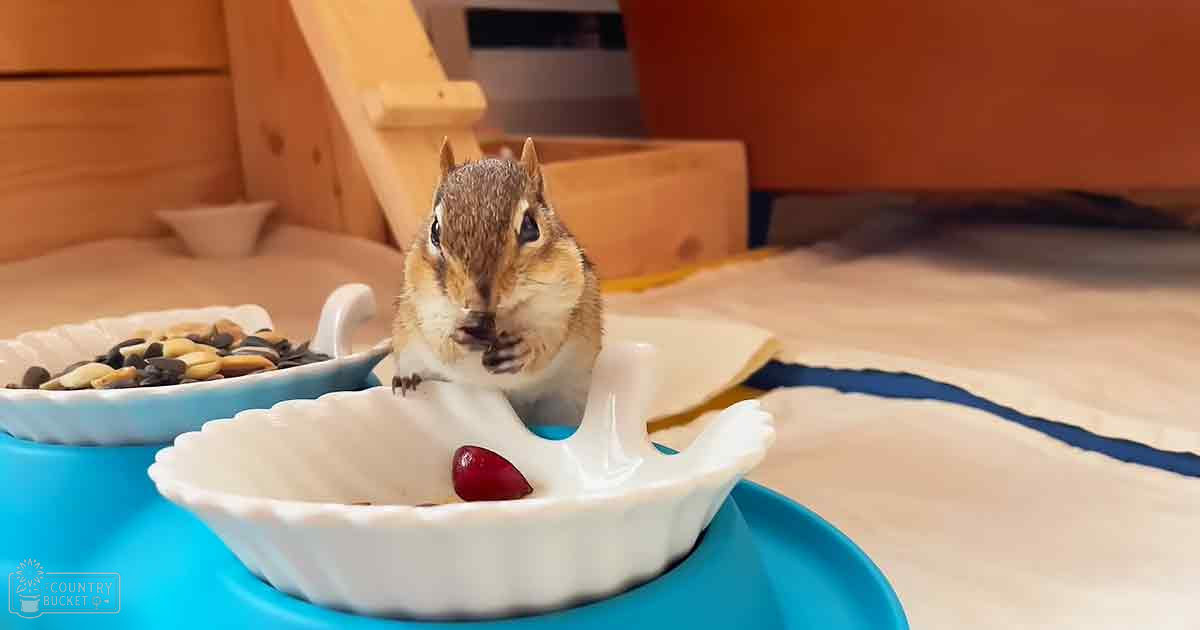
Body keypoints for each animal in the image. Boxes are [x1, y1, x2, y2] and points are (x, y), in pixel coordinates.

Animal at [391, 137, 603, 427]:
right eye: (435, 230)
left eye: (531, 227)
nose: (477, 300)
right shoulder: (421, 301)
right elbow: (438, 337)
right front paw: (457, 332)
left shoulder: (567, 298)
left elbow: (547, 339)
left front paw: (521, 348)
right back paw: (408, 379)